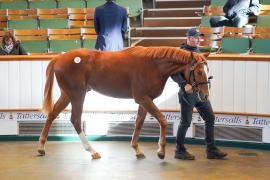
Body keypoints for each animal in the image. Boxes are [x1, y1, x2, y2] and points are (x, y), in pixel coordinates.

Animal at [38, 45, 210, 160]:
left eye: (207, 71)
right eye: (199, 72)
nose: (205, 96)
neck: (153, 64)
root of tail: (59, 58)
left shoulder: (145, 100)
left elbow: (139, 122)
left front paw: (137, 150)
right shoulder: (142, 98)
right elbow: (162, 120)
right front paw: (161, 151)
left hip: (67, 95)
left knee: (52, 115)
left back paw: (41, 147)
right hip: (77, 96)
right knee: (75, 119)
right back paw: (92, 151)